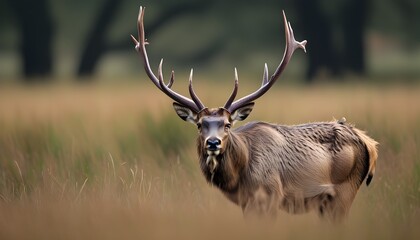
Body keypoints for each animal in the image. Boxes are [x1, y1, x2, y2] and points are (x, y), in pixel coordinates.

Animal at [130, 6, 378, 221]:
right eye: (200, 124)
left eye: (228, 124)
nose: (213, 142)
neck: (240, 177)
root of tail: (369, 143)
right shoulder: (247, 202)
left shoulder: (270, 194)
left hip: (344, 190)